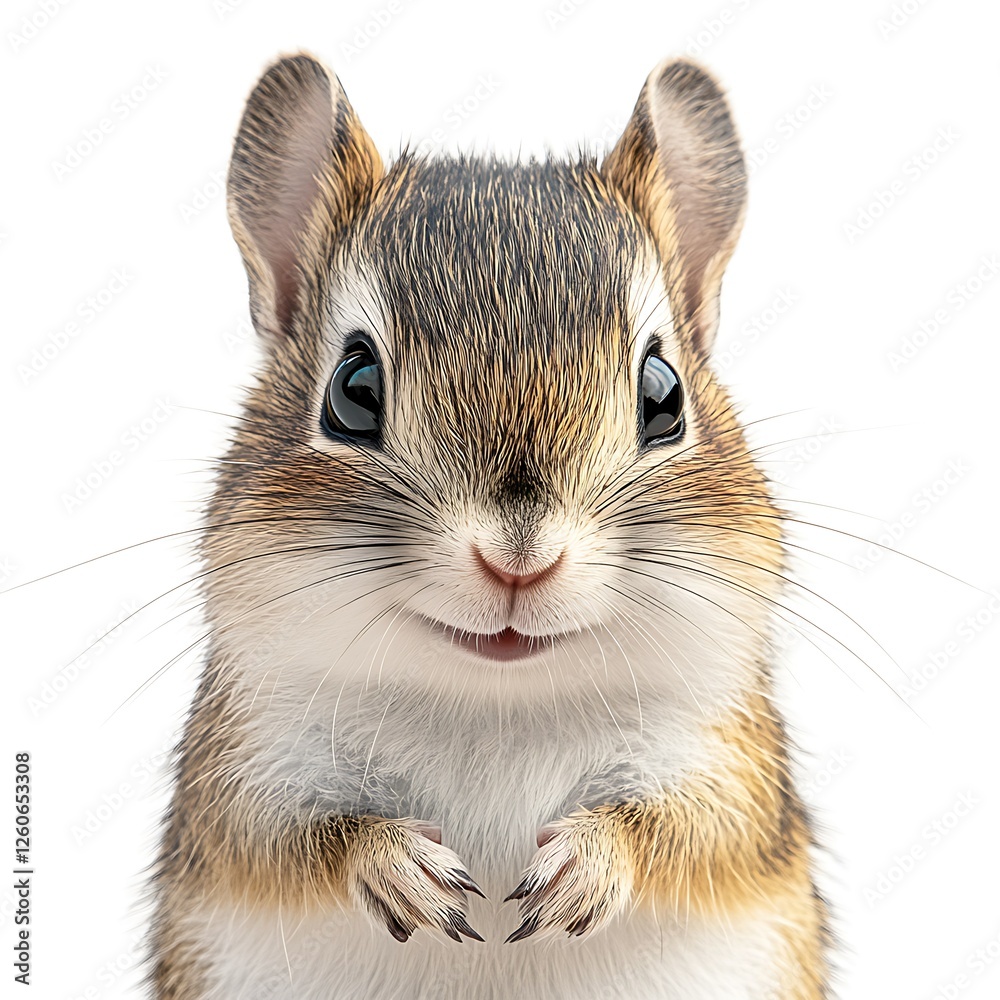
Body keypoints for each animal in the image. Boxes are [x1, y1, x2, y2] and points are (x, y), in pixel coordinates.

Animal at [148, 51, 831, 999]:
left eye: (664, 395)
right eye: (352, 391)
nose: (518, 561)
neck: (494, 702)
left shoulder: (731, 770)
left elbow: (687, 831)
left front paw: (588, 865)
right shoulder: (241, 780)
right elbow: (292, 842)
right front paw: (397, 867)